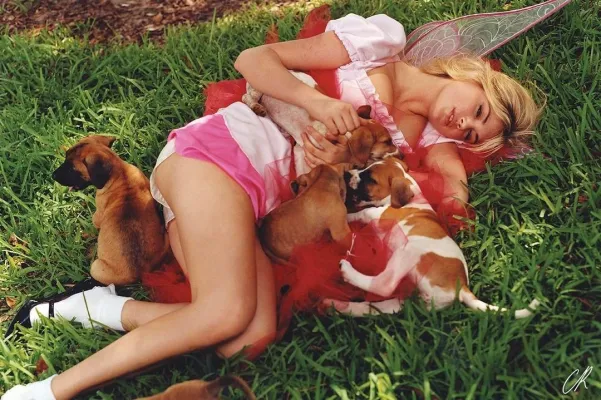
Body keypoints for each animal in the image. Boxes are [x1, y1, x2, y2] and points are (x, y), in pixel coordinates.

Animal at [53, 135, 169, 285]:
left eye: (72, 168)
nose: (53, 176)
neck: (119, 172)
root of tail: (142, 273)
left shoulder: (97, 215)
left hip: (96, 267)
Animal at [241, 71, 398, 175]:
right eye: (387, 141)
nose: (401, 155)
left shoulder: (301, 152)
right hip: (257, 88)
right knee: (246, 97)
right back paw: (256, 107)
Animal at [323, 157, 540, 318]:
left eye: (371, 179)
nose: (347, 174)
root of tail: (461, 288)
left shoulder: (378, 214)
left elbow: (362, 213)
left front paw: (346, 217)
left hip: (409, 252)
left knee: (385, 285)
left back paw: (348, 272)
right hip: (406, 299)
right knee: (377, 307)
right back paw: (337, 305)